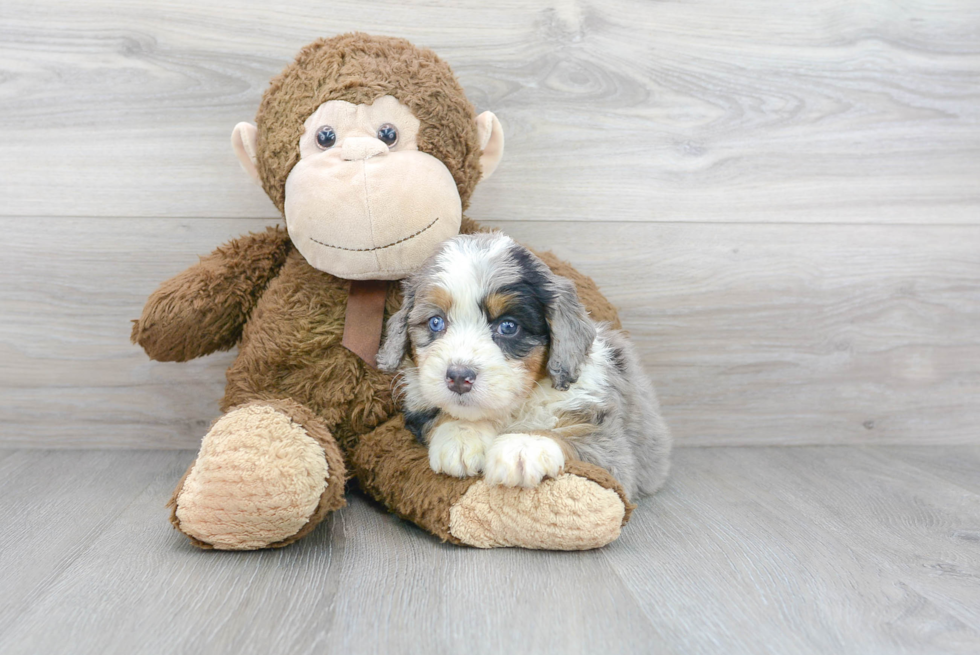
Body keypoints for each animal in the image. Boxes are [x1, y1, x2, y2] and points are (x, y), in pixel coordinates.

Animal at [378, 233, 672, 500]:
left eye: (508, 326)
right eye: (436, 322)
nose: (459, 377)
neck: (519, 404)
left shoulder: (612, 452)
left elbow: (568, 437)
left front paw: (523, 446)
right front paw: (460, 435)